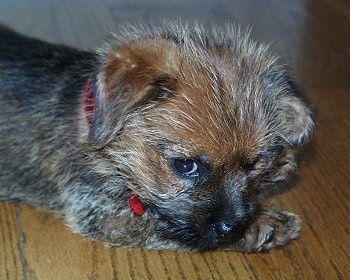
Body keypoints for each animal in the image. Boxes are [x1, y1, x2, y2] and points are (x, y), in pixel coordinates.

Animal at [0, 22, 314, 252]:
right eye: (185, 165)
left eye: (253, 165)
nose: (231, 227)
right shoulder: (103, 212)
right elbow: (170, 228)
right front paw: (264, 224)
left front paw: (280, 161)